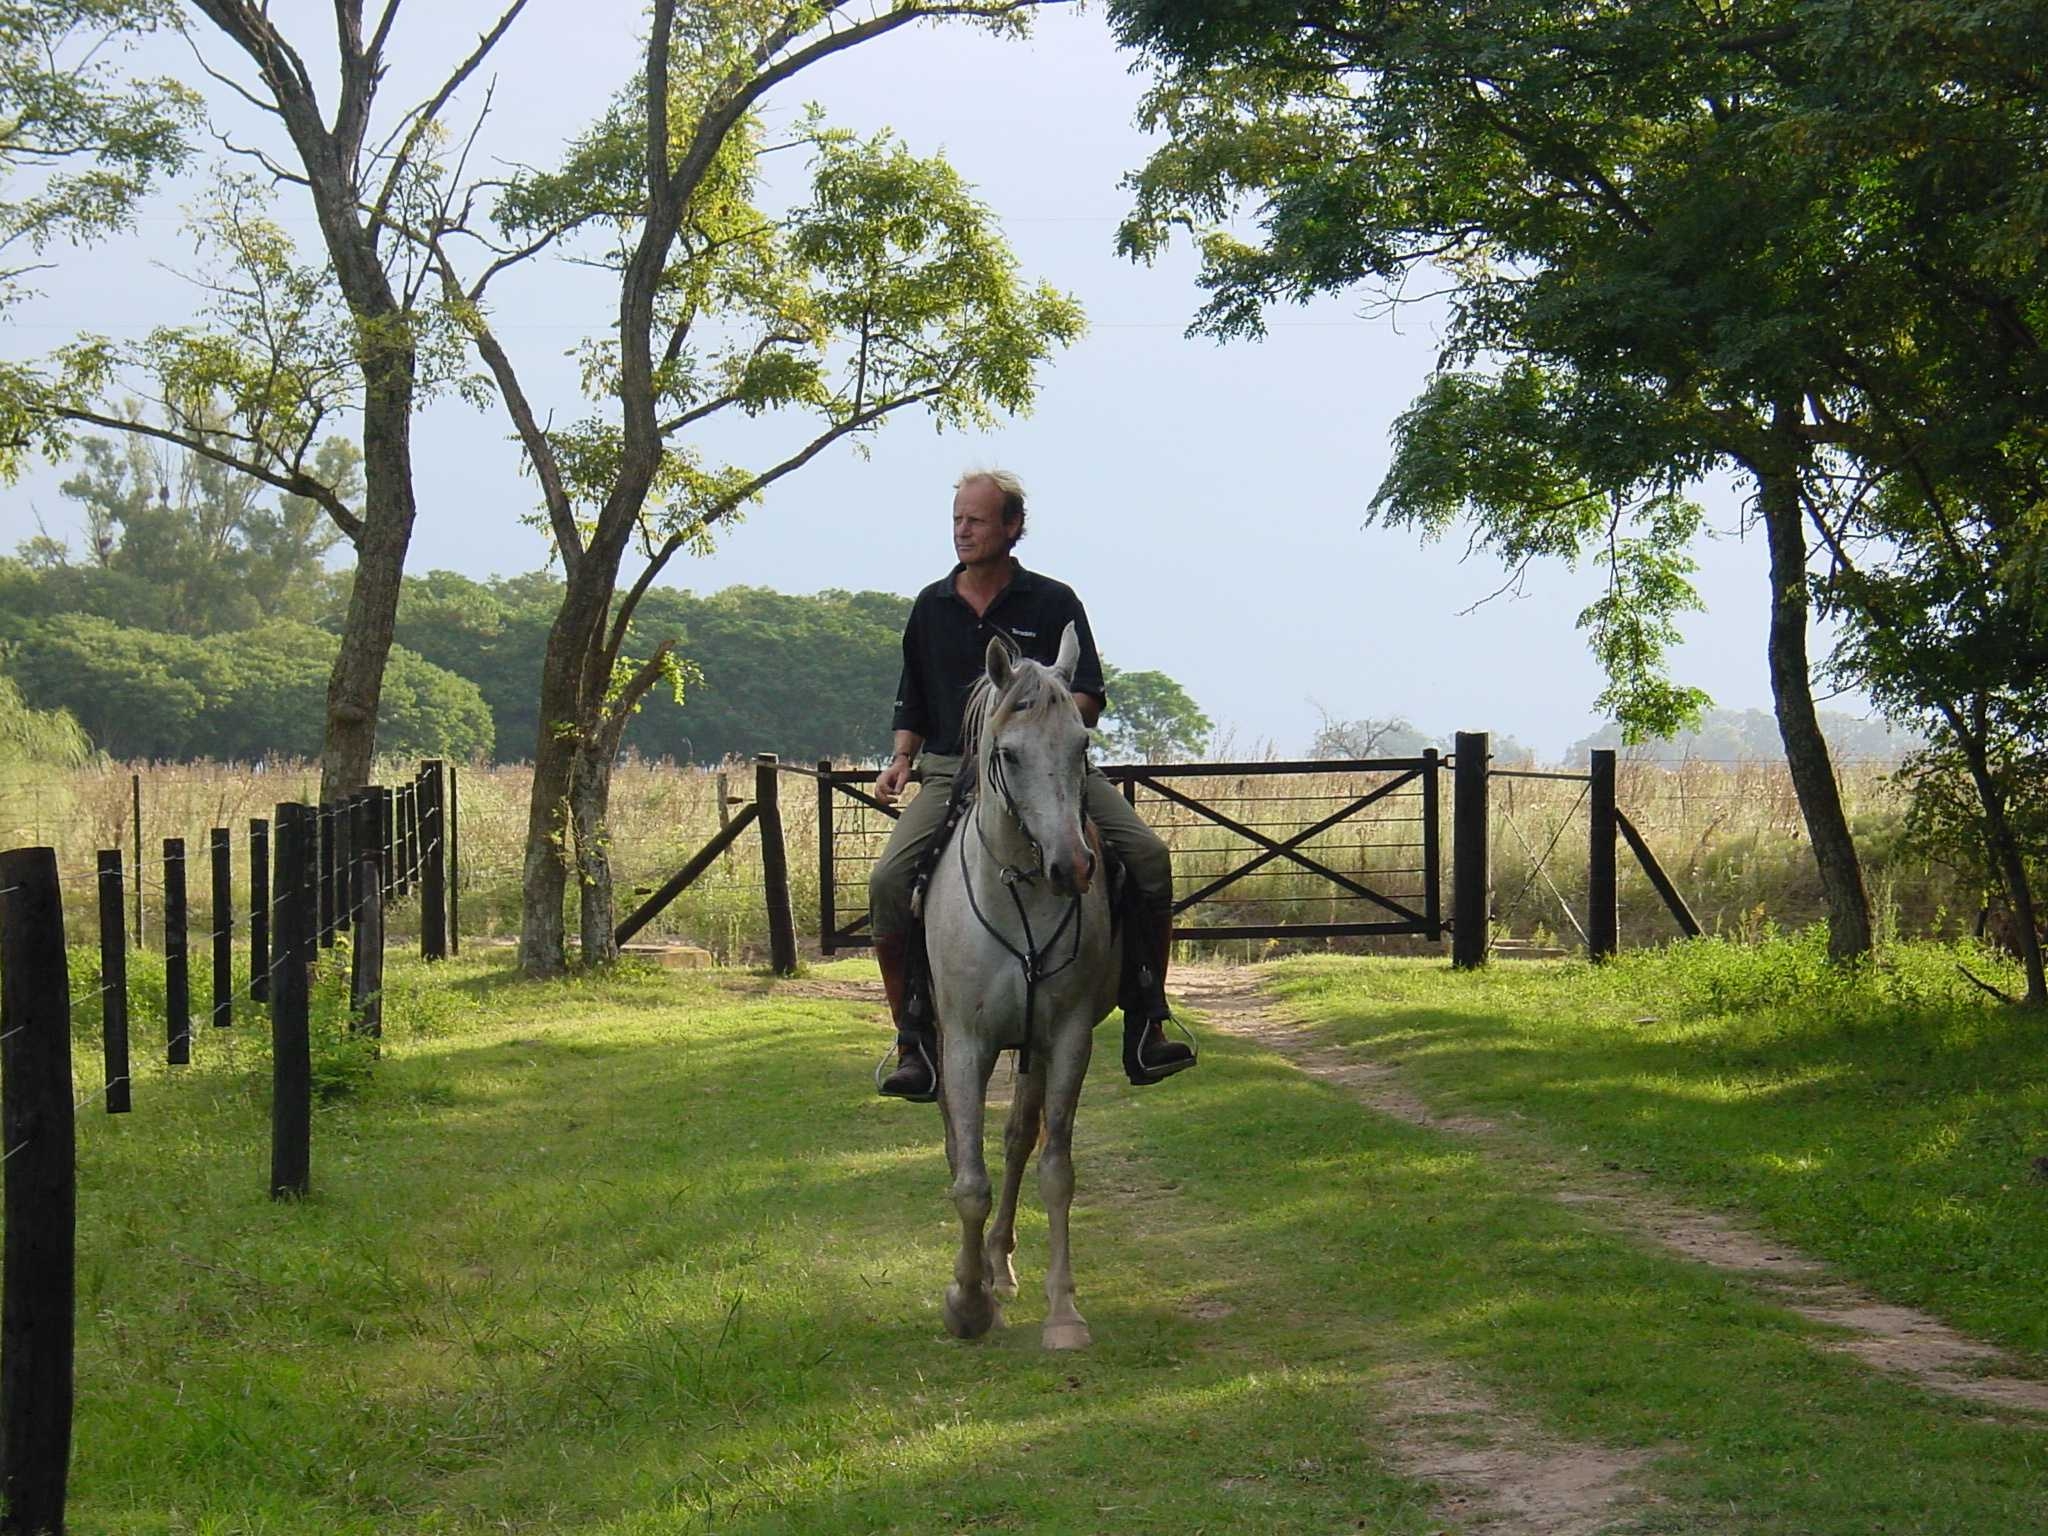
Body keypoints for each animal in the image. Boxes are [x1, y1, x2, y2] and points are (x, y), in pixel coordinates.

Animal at [925, 622, 1122, 1343]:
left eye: (1081, 746)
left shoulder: (1065, 1038)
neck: (1018, 895)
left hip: (1033, 1046)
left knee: (1017, 1140)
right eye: (1007, 755)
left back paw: (1000, 1264)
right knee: (963, 1145)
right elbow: (968, 1178)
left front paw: (1062, 1311)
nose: (1072, 867)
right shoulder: (966, 1043)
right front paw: (966, 1302)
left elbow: (1054, 1169)